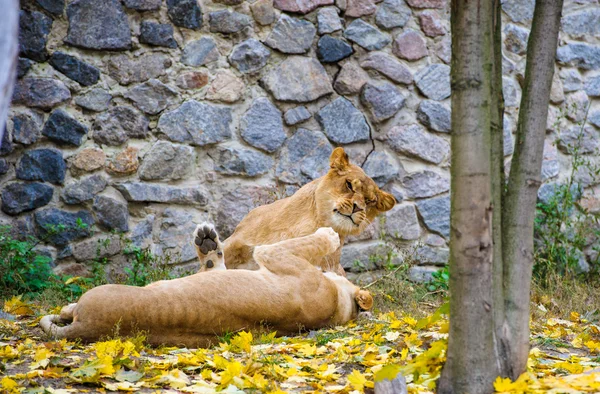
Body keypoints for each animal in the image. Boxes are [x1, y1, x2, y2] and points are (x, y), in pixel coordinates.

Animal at [39, 228, 372, 348]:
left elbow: (310, 241)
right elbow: (216, 265)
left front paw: (330, 234)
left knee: (67, 308)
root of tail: (84, 328)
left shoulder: (272, 255)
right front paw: (209, 245)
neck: (335, 305)